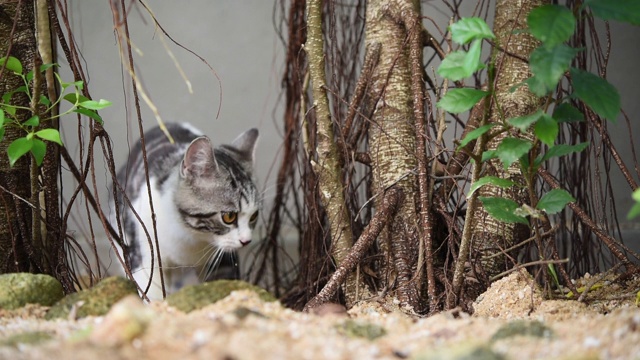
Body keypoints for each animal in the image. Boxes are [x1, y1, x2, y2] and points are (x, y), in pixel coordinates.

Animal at [110, 122, 260, 300]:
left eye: (254, 216)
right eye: (229, 216)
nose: (247, 240)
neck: (190, 237)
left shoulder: (223, 258)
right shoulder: (145, 255)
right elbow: (153, 293)